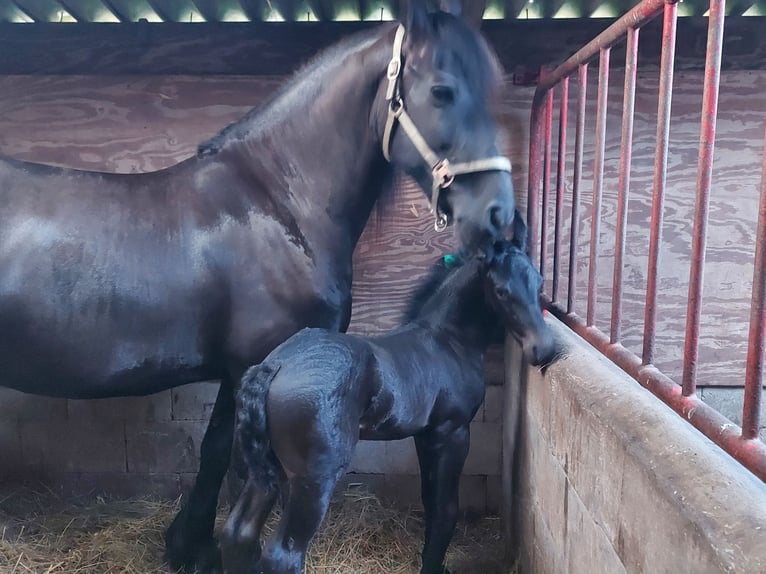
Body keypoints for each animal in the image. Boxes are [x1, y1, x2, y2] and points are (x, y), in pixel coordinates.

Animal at [219, 227, 560, 572]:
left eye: (539, 282)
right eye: (502, 291)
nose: (544, 349)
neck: (447, 340)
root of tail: (274, 365)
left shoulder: (426, 436)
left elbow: (431, 502)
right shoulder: (453, 432)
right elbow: (446, 509)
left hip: (265, 466)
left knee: (238, 531)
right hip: (313, 479)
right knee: (283, 554)